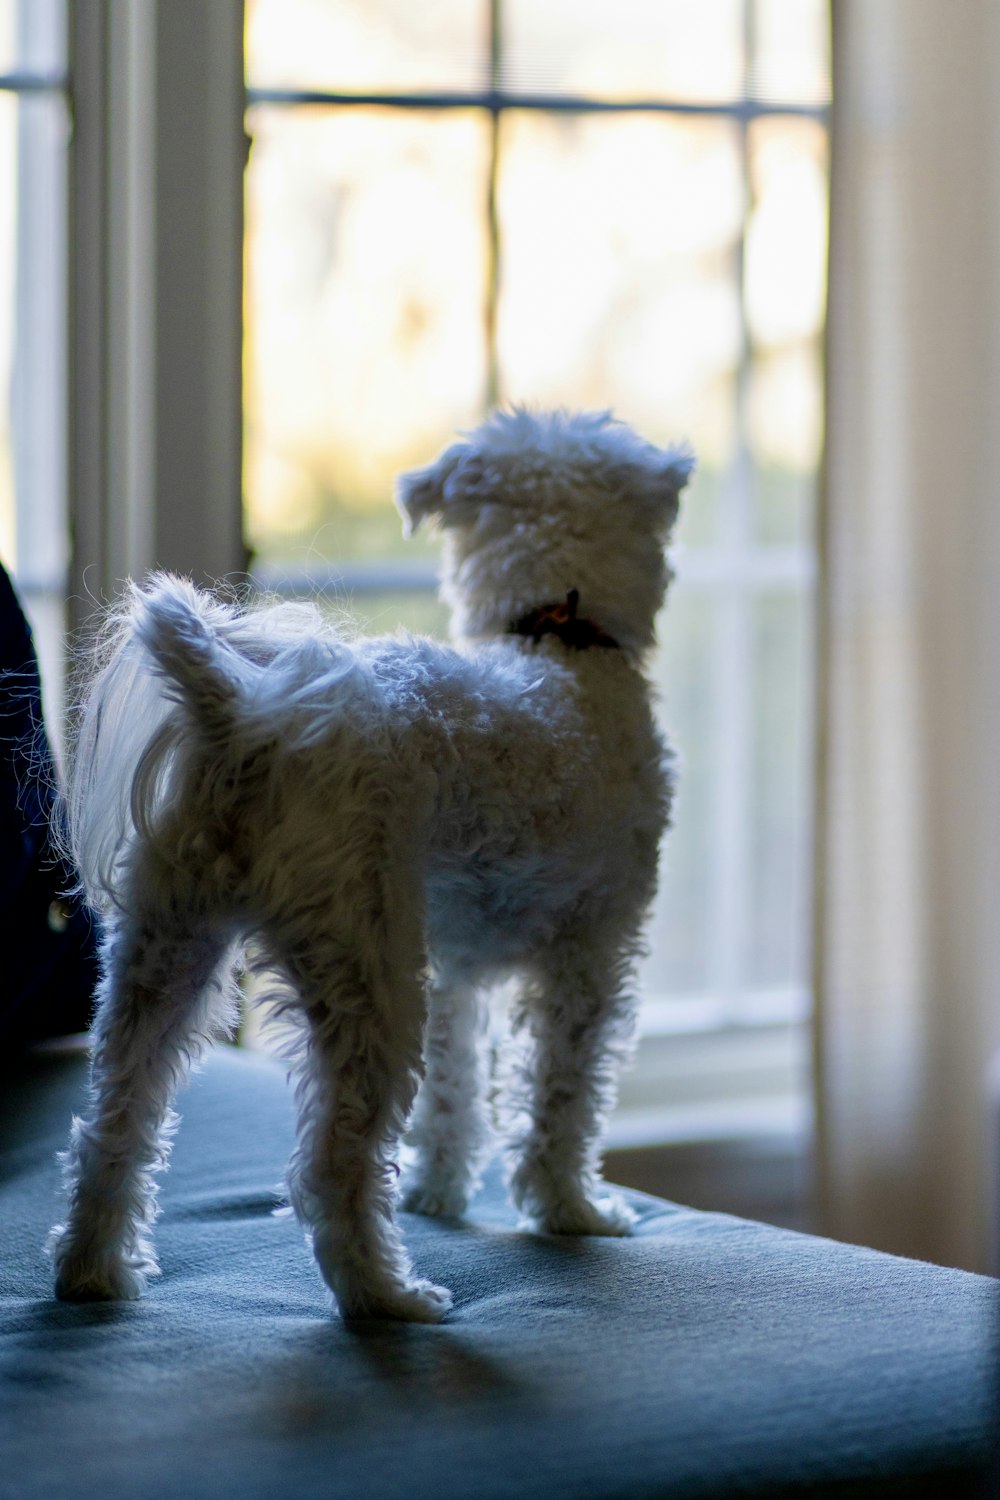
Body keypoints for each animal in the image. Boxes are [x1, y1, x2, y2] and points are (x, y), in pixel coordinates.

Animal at [50, 411, 692, 1326]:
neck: (555, 647)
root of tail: (241, 718)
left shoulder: (456, 967)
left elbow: (455, 1092)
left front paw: (439, 1193)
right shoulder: (591, 952)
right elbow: (562, 1092)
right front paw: (571, 1209)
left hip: (163, 953)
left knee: (114, 1126)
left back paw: (95, 1272)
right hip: (364, 970)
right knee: (331, 1165)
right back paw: (387, 1295)